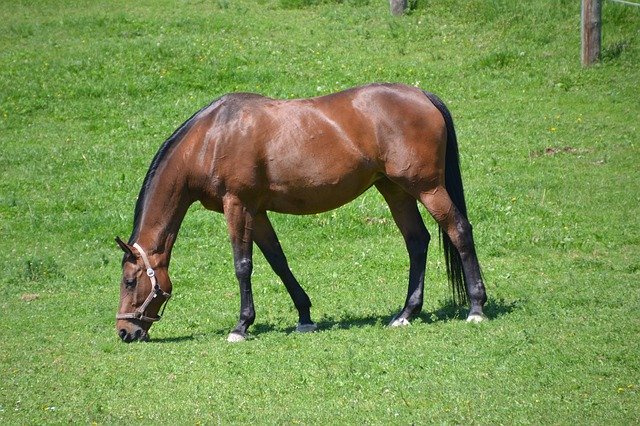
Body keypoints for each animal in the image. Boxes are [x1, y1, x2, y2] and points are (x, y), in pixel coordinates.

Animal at [115, 83, 488, 342]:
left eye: (130, 281)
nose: (124, 332)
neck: (212, 137)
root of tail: (422, 95)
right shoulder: (257, 212)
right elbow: (278, 262)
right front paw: (305, 316)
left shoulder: (237, 206)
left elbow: (243, 265)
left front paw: (241, 326)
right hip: (395, 190)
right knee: (417, 241)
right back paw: (406, 313)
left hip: (427, 188)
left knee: (459, 230)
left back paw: (476, 308)